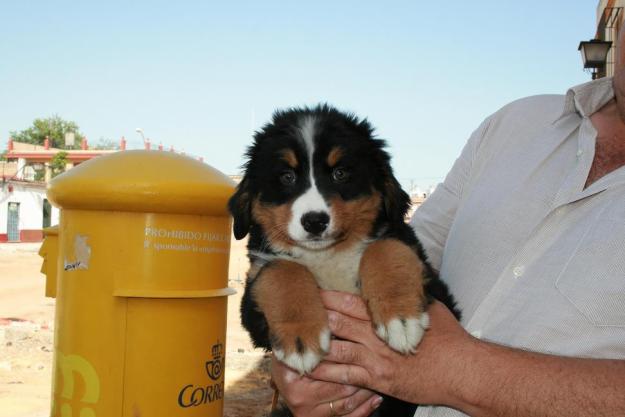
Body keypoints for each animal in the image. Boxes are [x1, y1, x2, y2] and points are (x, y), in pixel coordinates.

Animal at [229, 105, 458, 416]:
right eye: (287, 176)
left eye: (340, 173)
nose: (315, 221)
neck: (329, 255)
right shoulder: (253, 309)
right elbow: (282, 268)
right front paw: (302, 340)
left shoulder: (432, 282)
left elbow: (385, 247)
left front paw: (401, 319)